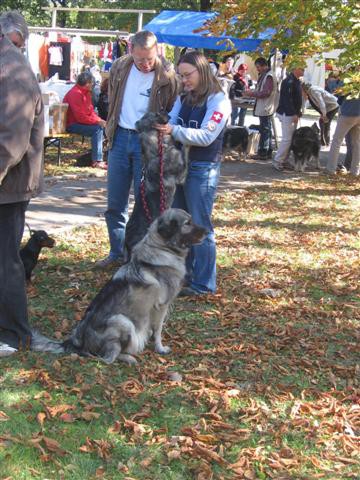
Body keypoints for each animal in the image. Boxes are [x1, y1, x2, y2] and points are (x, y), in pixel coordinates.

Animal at [34, 210, 207, 364]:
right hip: (122, 321)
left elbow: (153, 330)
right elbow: (158, 330)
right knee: (107, 358)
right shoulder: (161, 306)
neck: (161, 248)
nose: (206, 231)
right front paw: (160, 348)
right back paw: (130, 358)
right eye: (187, 223)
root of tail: (76, 342)